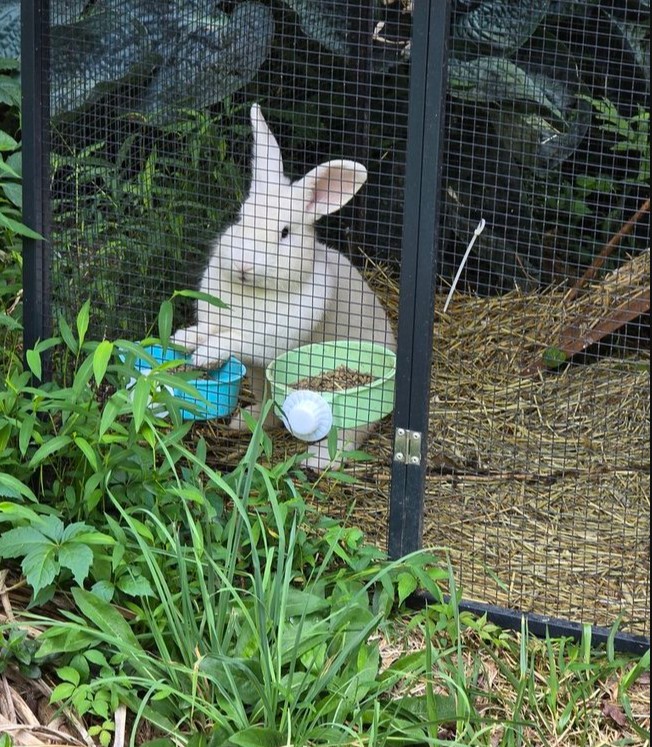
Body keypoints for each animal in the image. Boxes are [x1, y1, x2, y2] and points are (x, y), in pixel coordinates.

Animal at [171, 103, 396, 470]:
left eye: (285, 232)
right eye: (240, 217)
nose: (244, 266)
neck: (254, 290)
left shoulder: (269, 336)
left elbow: (235, 337)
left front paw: (206, 354)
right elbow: (211, 328)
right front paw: (185, 338)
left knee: (351, 435)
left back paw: (319, 459)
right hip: (262, 382)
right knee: (270, 408)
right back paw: (244, 421)